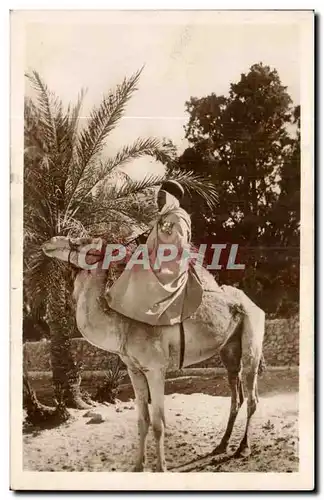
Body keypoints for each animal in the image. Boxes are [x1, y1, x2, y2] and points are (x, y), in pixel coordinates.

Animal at [42, 236, 266, 470]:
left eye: (80, 242)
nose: (50, 242)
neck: (124, 325)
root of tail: (253, 304)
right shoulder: (134, 369)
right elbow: (143, 420)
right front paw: (138, 466)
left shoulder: (156, 368)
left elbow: (159, 423)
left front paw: (161, 467)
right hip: (229, 349)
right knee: (235, 395)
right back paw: (221, 446)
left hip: (252, 342)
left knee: (252, 397)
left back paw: (243, 448)